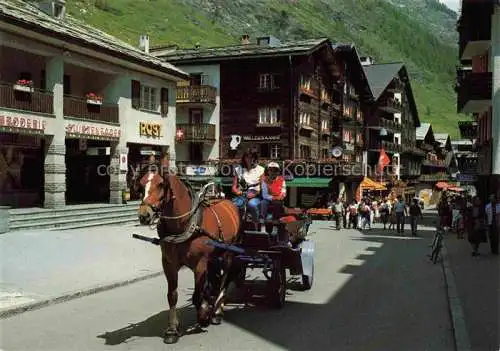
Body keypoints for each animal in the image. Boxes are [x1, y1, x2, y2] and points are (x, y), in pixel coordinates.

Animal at [152, 161, 240, 346]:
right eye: (142, 183)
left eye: (161, 184)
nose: (144, 214)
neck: (184, 226)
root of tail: (228, 201)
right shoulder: (168, 263)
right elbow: (172, 295)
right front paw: (172, 330)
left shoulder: (200, 264)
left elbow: (197, 296)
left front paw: (204, 316)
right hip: (214, 256)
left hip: (229, 251)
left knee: (225, 278)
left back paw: (217, 311)